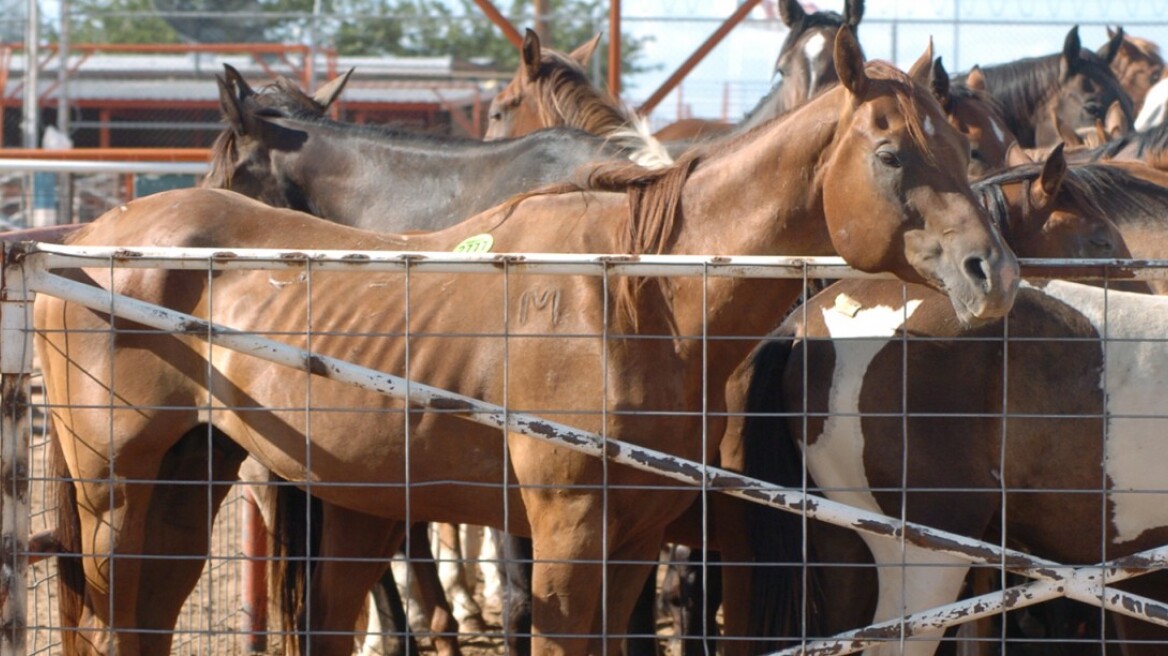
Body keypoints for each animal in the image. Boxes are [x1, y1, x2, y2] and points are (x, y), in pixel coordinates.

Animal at [38, 29, 1023, 653]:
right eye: (893, 154)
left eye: (965, 152)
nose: (995, 272)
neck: (638, 296)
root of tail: (89, 242)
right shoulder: (565, 537)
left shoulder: (632, 546)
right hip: (114, 494)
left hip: (188, 479)